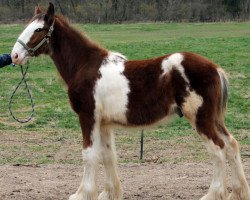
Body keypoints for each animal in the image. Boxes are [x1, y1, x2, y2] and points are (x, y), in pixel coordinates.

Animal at [10, 3, 250, 200]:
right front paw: (109, 193)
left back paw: (213, 194)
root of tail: (215, 68)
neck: (85, 66)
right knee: (231, 145)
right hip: (214, 119)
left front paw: (81, 194)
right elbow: (108, 156)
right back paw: (237, 192)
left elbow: (89, 155)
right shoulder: (104, 124)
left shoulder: (88, 117)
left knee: (218, 150)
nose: (14, 56)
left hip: (201, 119)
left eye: (38, 29)